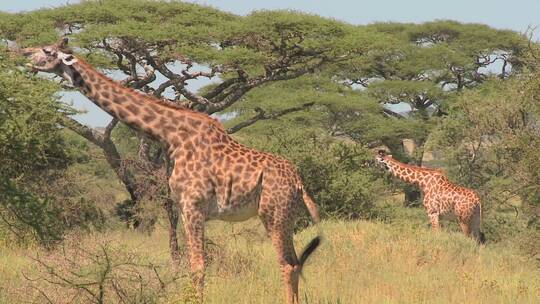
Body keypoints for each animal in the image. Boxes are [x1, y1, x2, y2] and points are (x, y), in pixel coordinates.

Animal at [17, 39, 320, 302]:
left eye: (47, 50)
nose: (22, 53)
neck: (171, 136)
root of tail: (299, 182)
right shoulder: (184, 208)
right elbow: (190, 265)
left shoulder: (193, 205)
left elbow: (198, 268)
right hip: (284, 216)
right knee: (295, 263)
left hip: (273, 214)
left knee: (287, 264)